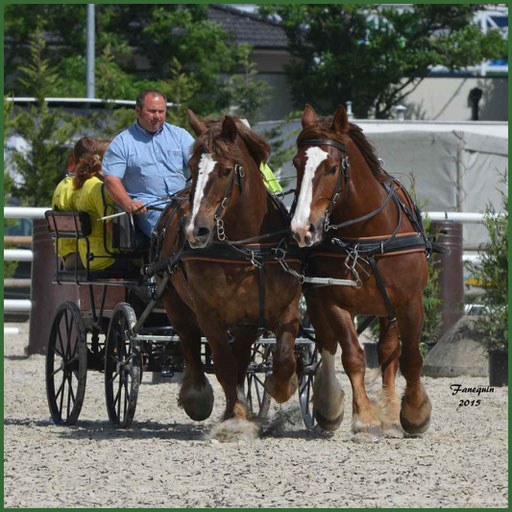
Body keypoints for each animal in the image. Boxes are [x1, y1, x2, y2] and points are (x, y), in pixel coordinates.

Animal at [154, 112, 302, 432]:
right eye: (192, 167)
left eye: (224, 171)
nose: (196, 230)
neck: (248, 248)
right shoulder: (208, 314)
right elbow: (223, 363)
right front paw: (235, 417)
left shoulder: (283, 308)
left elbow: (284, 357)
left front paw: (280, 386)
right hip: (173, 299)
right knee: (189, 339)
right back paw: (199, 395)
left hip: (245, 321)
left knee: (243, 357)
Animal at [290, 104, 430, 436]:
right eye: (297, 163)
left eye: (331, 168)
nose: (302, 229)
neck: (365, 236)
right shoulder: (334, 300)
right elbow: (352, 356)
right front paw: (363, 417)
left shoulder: (409, 302)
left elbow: (411, 357)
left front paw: (415, 412)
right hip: (317, 300)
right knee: (326, 344)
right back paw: (328, 406)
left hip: (387, 308)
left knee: (389, 350)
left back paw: (391, 409)